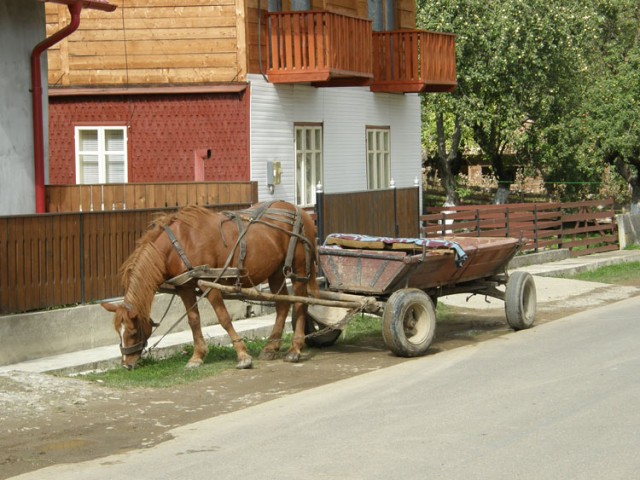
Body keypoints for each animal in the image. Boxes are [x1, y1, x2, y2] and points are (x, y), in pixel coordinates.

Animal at [102, 201, 320, 370]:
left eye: (132, 332)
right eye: (118, 332)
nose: (126, 364)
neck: (179, 243)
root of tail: (301, 212)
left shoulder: (211, 286)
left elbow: (224, 318)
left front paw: (242, 355)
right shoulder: (185, 288)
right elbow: (193, 320)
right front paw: (197, 356)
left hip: (299, 271)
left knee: (300, 304)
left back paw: (295, 349)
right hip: (275, 272)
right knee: (283, 305)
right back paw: (271, 347)